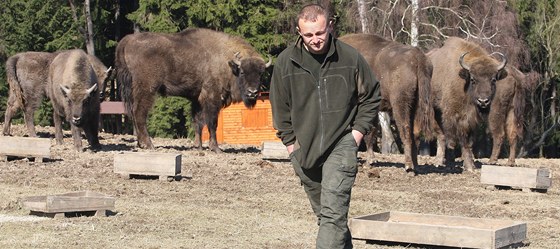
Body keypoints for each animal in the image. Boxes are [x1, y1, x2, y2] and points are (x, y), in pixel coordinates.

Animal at [115, 28, 272, 151]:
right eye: (242, 72)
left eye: (261, 73)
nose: (252, 92)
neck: (227, 61)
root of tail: (128, 40)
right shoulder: (212, 98)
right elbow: (212, 123)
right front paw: (215, 148)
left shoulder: (197, 99)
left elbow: (198, 122)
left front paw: (198, 146)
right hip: (147, 90)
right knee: (139, 114)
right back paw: (149, 145)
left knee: (133, 114)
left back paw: (141, 144)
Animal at [336, 32, 434, 173]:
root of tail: (418, 57)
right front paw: (370, 161)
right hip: (417, 104)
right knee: (415, 133)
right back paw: (415, 166)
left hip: (400, 104)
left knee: (405, 129)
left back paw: (408, 166)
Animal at [426, 37, 510, 172]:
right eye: (473, 79)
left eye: (493, 79)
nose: (483, 101)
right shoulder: (456, 116)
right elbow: (459, 140)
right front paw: (469, 167)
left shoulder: (473, 121)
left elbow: (469, 142)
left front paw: (470, 165)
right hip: (434, 111)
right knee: (441, 136)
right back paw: (440, 161)